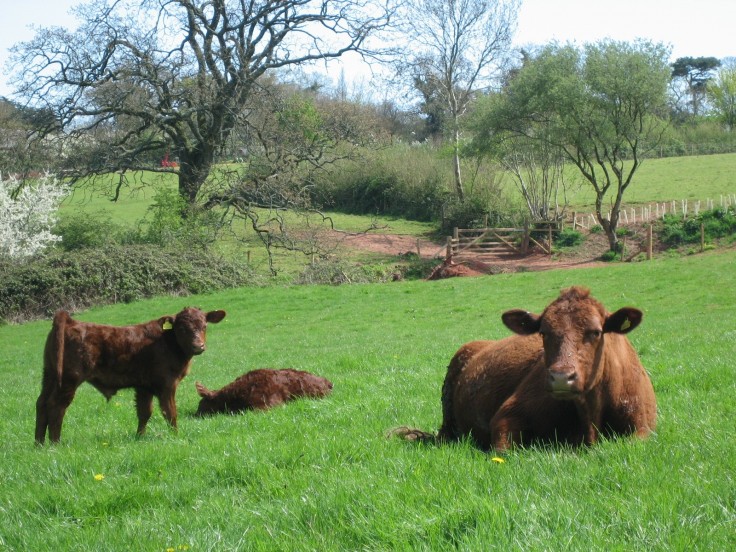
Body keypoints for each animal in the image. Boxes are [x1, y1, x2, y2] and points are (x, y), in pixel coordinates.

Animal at [35, 306, 224, 444]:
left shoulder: (144, 387)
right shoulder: (167, 384)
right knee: (56, 406)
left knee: (41, 403)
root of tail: (71, 321)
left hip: (49, 375)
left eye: (204, 326)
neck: (168, 342)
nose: (198, 346)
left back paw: (39, 443)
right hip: (68, 379)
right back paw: (55, 443)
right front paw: (176, 437)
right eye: (182, 329)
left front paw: (139, 437)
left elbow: (144, 412)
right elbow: (170, 412)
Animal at [394, 286, 660, 450]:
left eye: (595, 332)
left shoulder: (643, 426)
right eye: (543, 332)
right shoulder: (506, 415)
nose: (561, 377)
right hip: (448, 424)